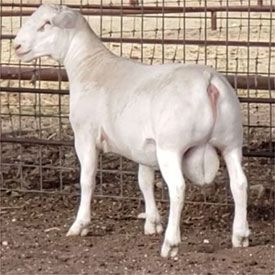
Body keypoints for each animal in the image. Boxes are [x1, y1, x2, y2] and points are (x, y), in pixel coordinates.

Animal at [14, 4, 250, 258]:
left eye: (47, 24)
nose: (16, 45)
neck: (88, 66)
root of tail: (208, 82)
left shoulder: (85, 136)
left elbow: (87, 180)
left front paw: (80, 225)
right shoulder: (143, 147)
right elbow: (144, 181)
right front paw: (152, 223)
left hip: (171, 146)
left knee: (178, 188)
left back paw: (170, 244)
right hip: (231, 142)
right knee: (239, 183)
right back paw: (241, 236)